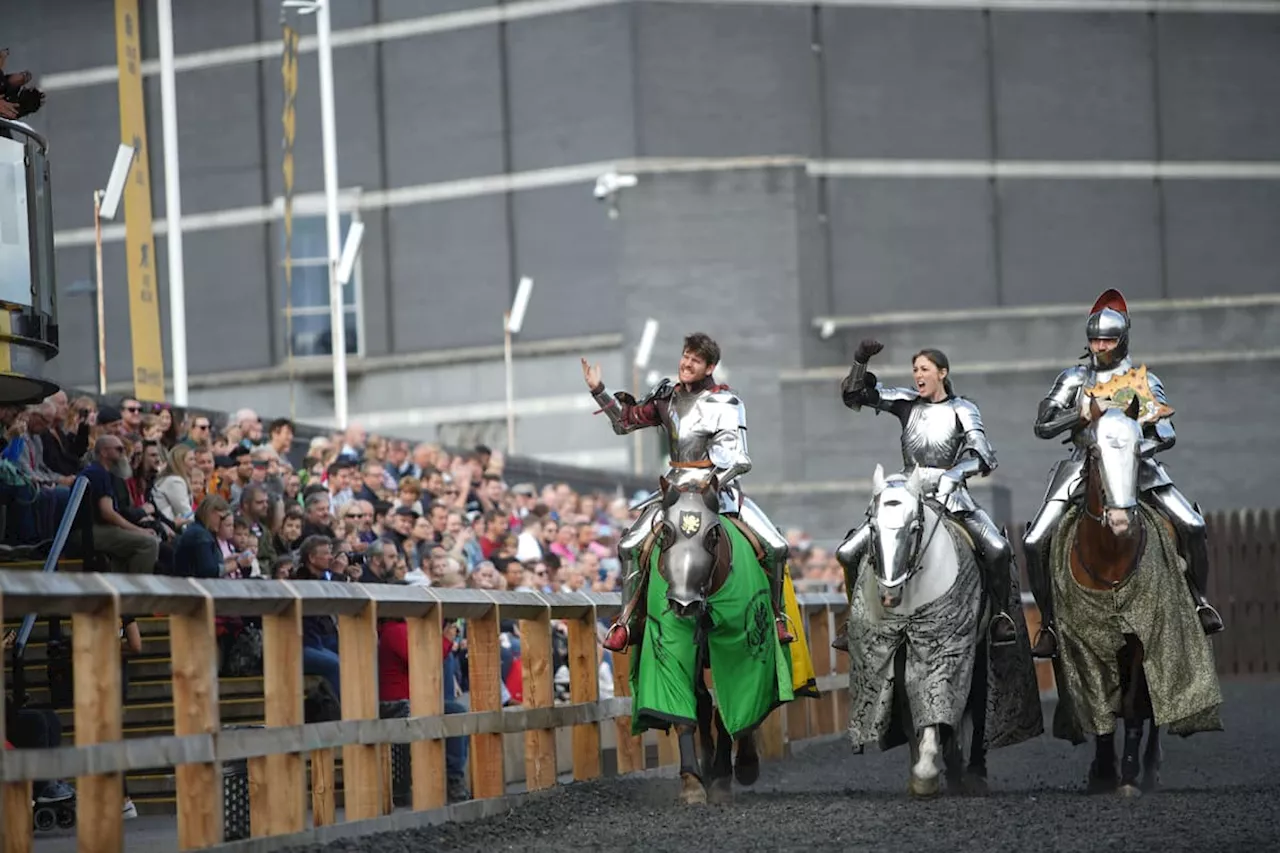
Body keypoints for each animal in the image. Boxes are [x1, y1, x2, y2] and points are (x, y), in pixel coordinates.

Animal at [855, 461, 993, 794]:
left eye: (914, 528)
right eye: (873, 528)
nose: (889, 595)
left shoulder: (943, 644)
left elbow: (936, 698)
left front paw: (927, 770)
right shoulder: (898, 648)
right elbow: (909, 711)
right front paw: (918, 770)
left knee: (977, 698)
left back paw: (971, 773)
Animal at [1070, 394, 1172, 794]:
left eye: (1139, 452)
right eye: (1094, 450)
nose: (1119, 521)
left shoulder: (1143, 634)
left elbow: (1132, 704)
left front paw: (1127, 774)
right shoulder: (1084, 638)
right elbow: (1098, 701)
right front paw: (1103, 769)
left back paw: (1150, 766)